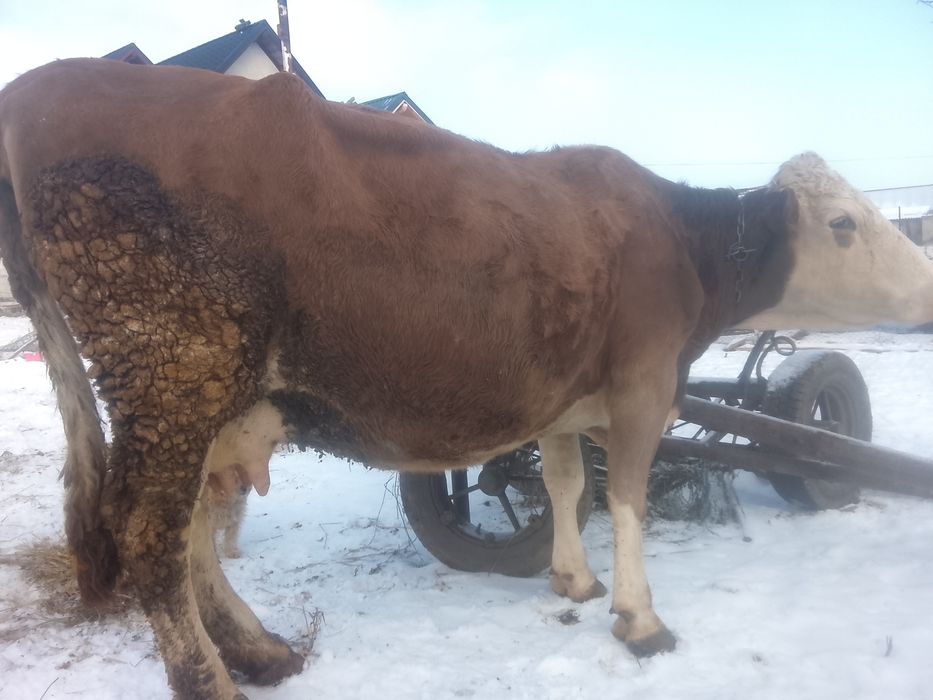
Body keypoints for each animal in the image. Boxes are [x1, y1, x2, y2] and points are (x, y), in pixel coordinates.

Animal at [1, 58, 931, 699]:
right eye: (842, 224)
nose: (925, 287)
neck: (674, 241)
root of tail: (41, 84)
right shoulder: (642, 384)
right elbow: (627, 496)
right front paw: (641, 621)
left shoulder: (563, 397)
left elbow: (566, 485)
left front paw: (574, 580)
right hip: (172, 367)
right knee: (149, 536)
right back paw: (212, 679)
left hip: (196, 399)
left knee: (189, 529)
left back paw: (260, 651)